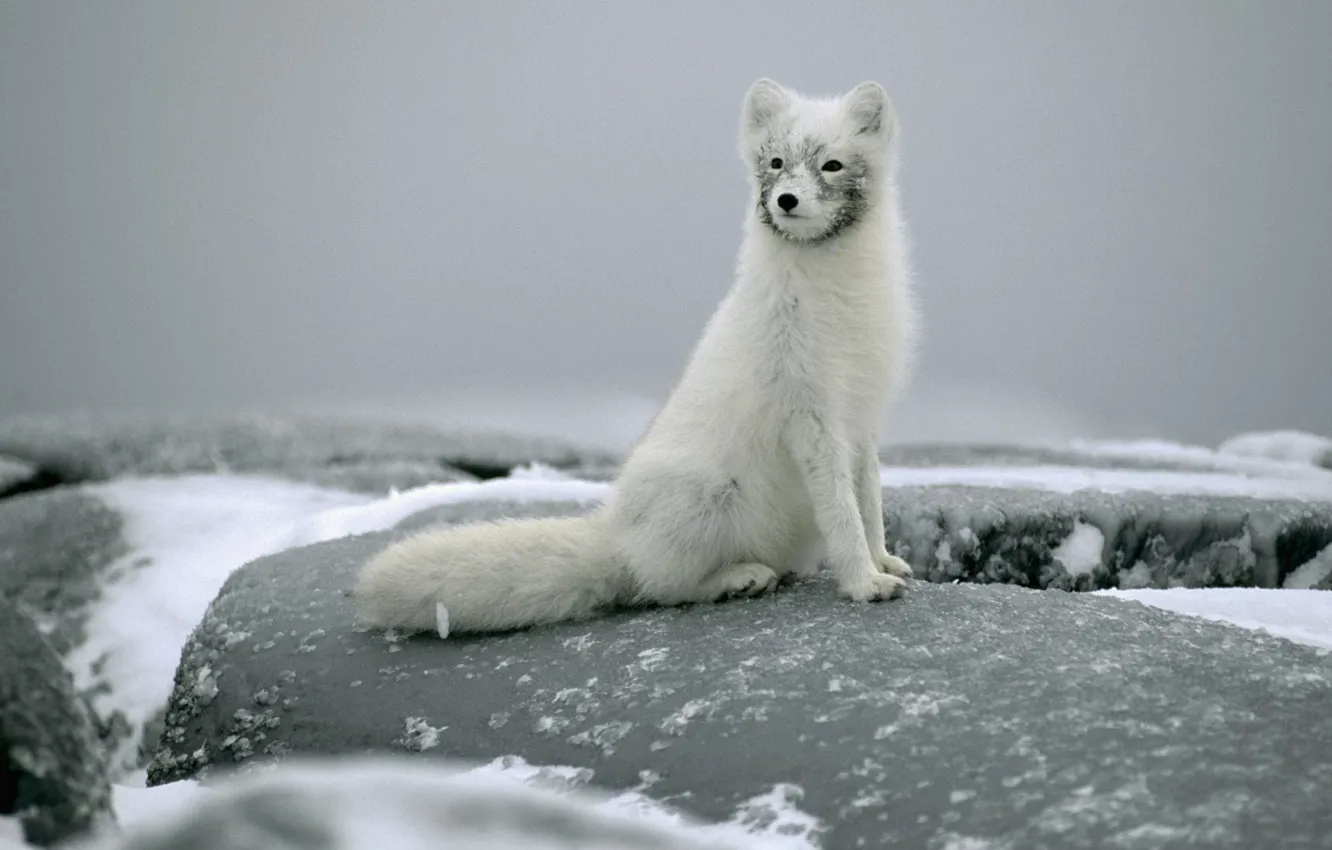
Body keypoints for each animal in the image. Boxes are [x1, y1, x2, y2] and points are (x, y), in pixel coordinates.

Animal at [355, 78, 919, 635]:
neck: (837, 298)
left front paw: (883, 561)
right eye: (777, 162)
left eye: (832, 165)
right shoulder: (811, 417)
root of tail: (614, 535)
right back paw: (738, 578)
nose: (785, 199)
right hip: (706, 495)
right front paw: (863, 582)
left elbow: (869, 501)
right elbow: (842, 512)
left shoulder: (861, 417)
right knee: (660, 587)